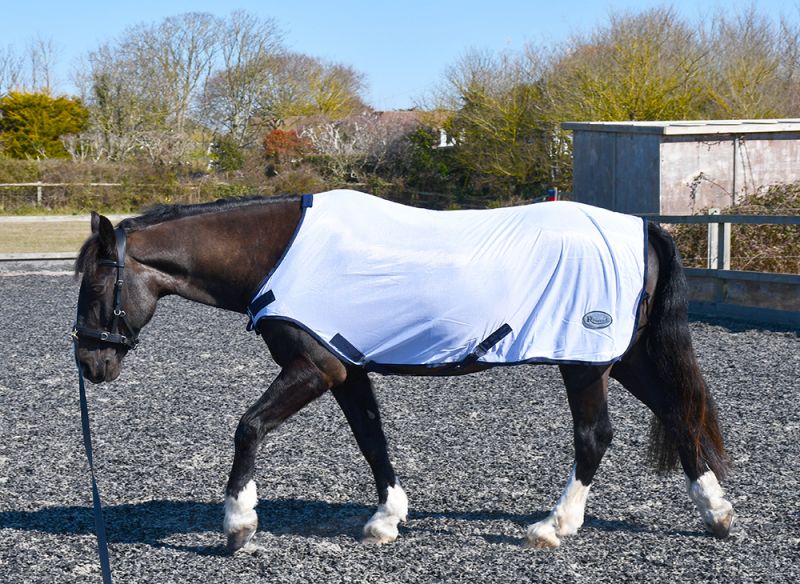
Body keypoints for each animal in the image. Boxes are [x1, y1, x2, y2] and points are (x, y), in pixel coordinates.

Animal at [73, 189, 735, 552]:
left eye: (97, 285)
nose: (90, 362)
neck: (281, 253)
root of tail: (641, 227)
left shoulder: (315, 367)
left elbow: (249, 427)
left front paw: (238, 522)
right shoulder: (346, 370)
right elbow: (372, 439)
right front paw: (387, 519)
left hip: (584, 362)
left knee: (595, 436)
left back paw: (554, 526)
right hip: (622, 358)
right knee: (677, 413)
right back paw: (717, 513)